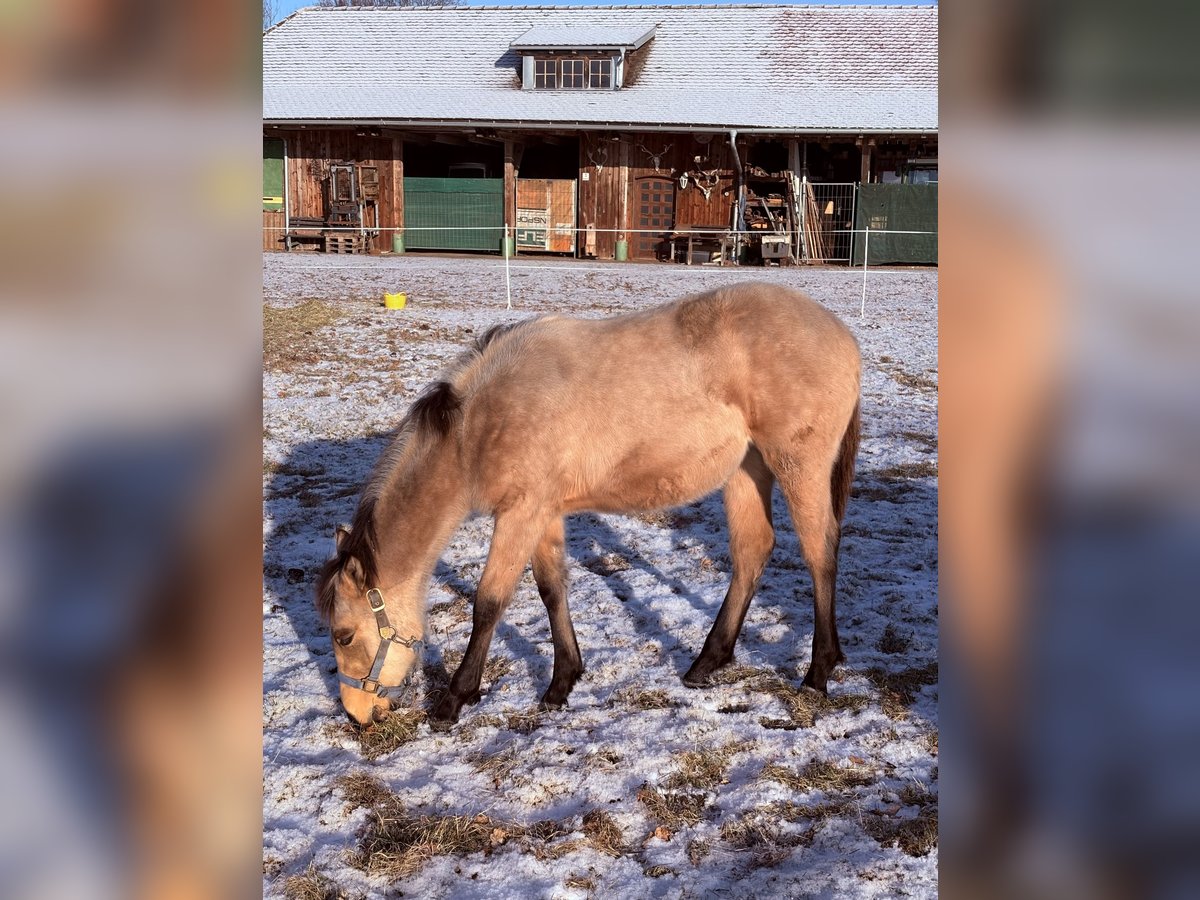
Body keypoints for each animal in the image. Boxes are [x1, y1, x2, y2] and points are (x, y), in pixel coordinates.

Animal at [317, 282, 861, 727]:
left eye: (344, 636)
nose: (357, 716)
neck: (476, 426)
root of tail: (842, 336)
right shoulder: (542, 513)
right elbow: (551, 589)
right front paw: (561, 683)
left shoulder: (519, 514)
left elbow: (488, 602)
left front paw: (455, 699)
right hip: (746, 471)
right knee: (753, 551)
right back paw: (707, 663)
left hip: (799, 466)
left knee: (820, 553)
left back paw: (818, 672)